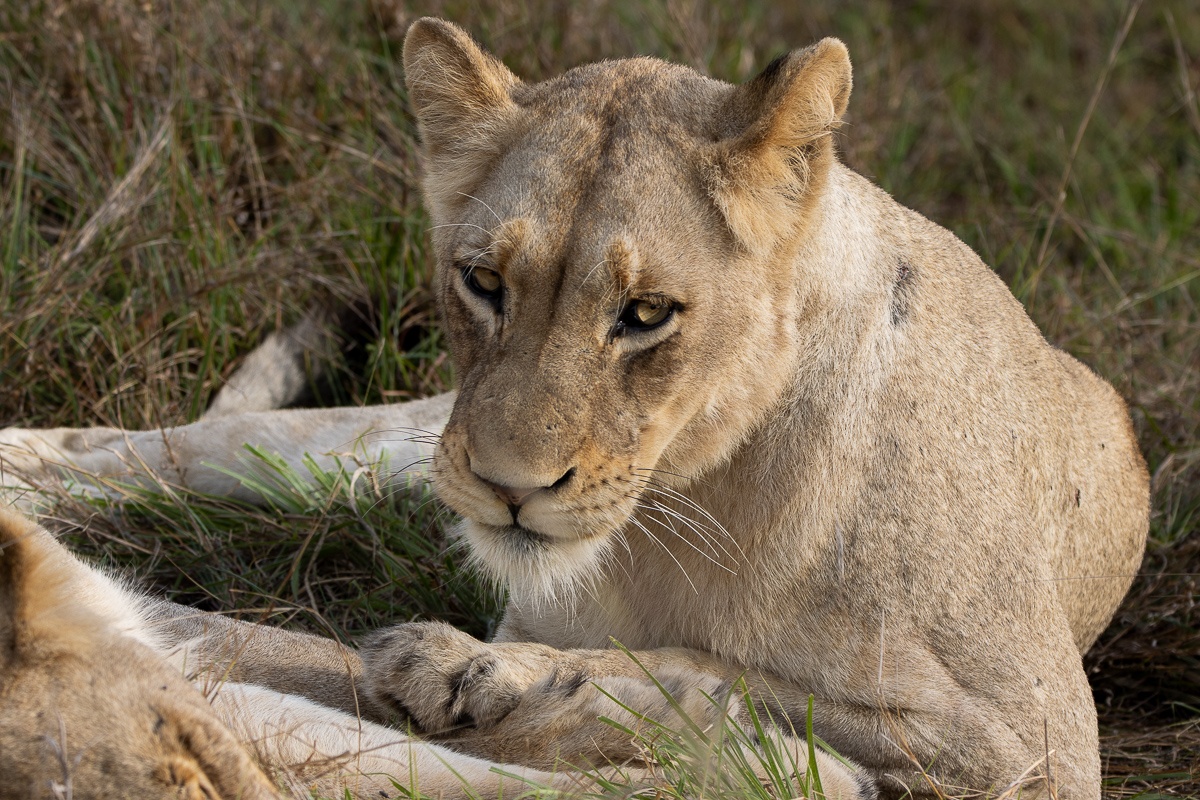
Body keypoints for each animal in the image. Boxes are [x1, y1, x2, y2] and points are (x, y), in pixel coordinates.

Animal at [0, 17, 1148, 800]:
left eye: (645, 314)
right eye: (482, 282)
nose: (510, 489)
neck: (685, 500)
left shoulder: (1034, 747)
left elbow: (727, 671)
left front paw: (479, 673)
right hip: (414, 440)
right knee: (237, 442)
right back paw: (28, 476)